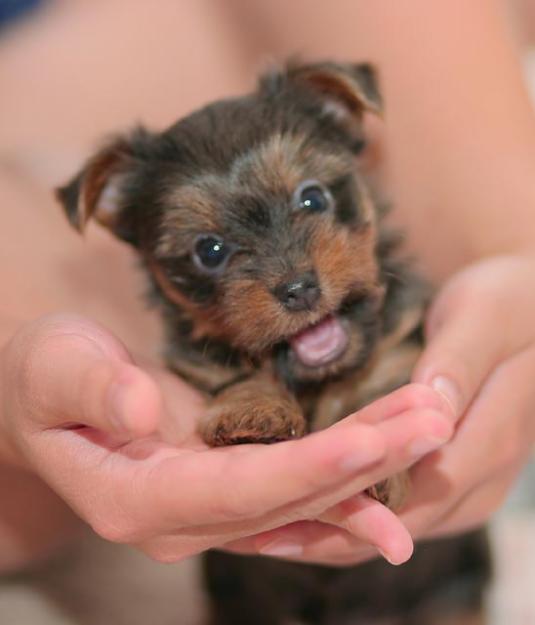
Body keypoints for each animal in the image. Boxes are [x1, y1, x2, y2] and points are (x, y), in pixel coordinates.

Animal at [57, 62, 490, 624]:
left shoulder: (398, 344)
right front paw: (254, 411)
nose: (299, 288)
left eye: (313, 198)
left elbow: (384, 384)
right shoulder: (201, 361)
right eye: (209, 251)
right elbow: (239, 374)